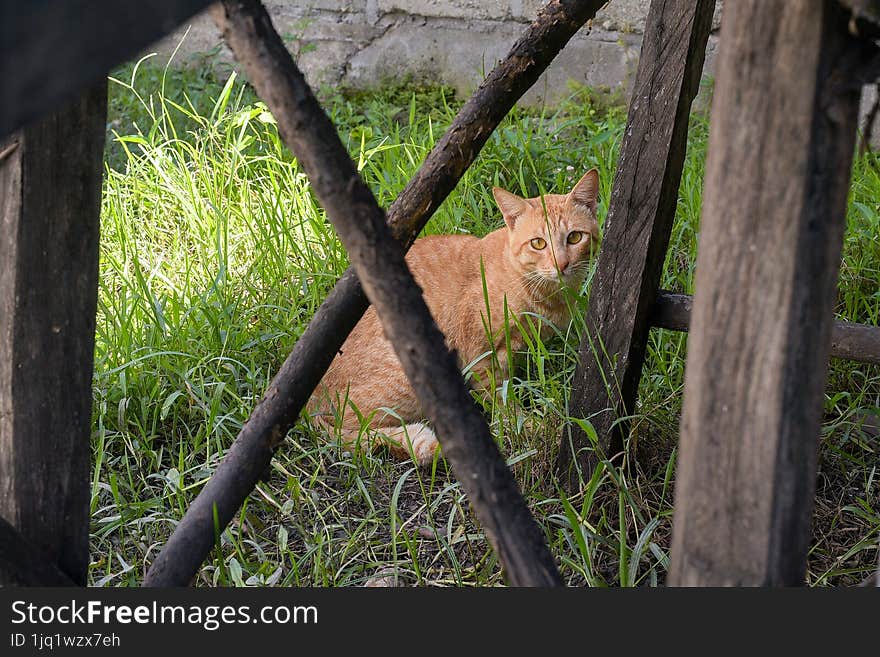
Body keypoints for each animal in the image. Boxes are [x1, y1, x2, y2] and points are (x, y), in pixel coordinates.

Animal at [306, 169, 600, 466]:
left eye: (575, 238)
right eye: (538, 243)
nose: (561, 264)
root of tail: (311, 399)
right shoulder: (481, 352)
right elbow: (501, 399)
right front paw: (527, 425)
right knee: (349, 430)